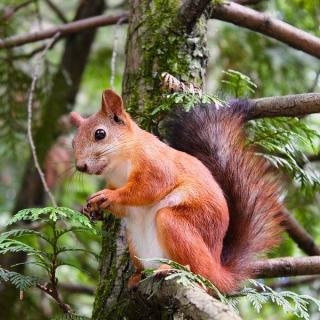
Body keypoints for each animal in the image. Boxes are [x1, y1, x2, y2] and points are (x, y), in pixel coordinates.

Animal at [69, 89, 282, 294]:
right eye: (73, 142)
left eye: (100, 134)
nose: (80, 166)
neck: (119, 165)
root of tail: (218, 270)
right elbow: (124, 208)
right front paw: (91, 208)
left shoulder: (157, 165)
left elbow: (147, 189)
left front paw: (108, 196)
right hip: (135, 241)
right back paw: (138, 276)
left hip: (176, 225)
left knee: (199, 273)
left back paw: (174, 270)